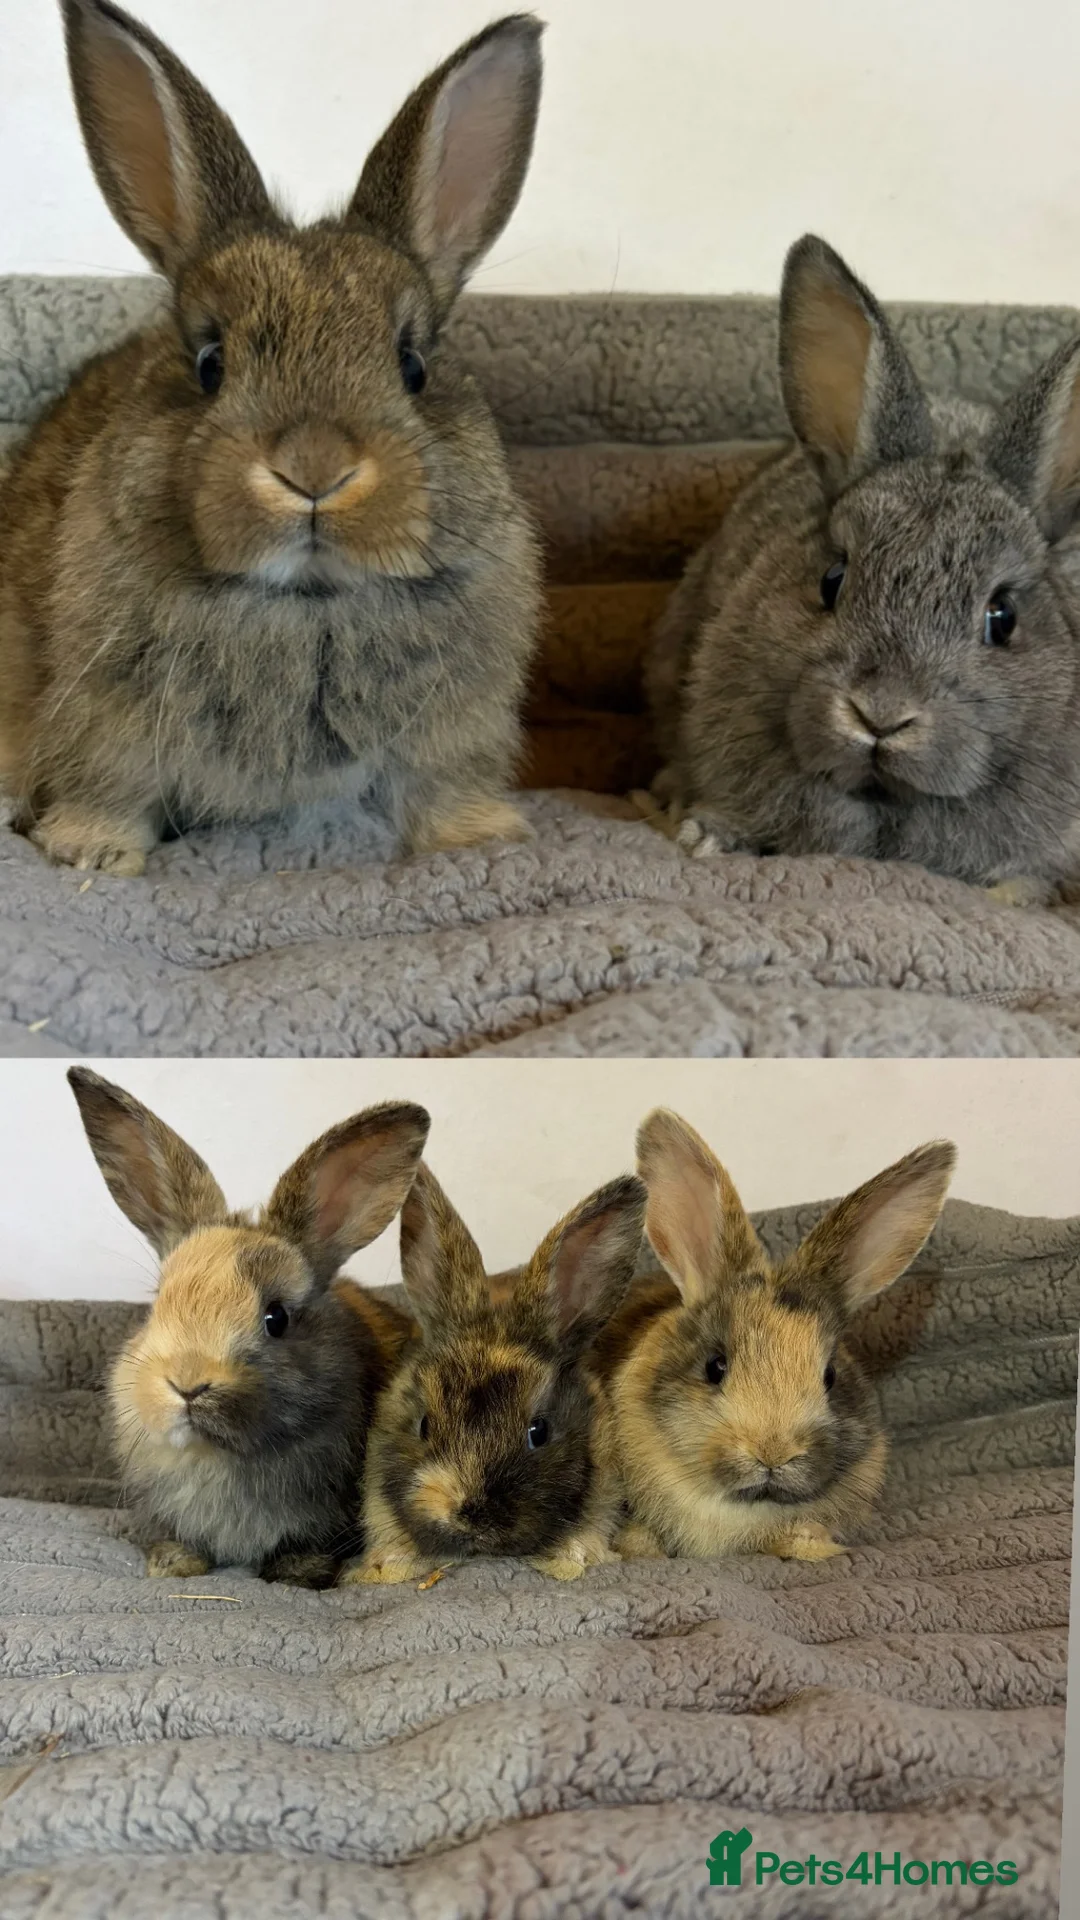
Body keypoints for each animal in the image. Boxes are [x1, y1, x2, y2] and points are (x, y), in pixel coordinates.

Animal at [0, 0, 545, 875]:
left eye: (414, 365)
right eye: (210, 363)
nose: (314, 469)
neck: (307, 600)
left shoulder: (455, 729)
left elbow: (443, 788)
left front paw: (478, 839)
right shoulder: (104, 720)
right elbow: (108, 788)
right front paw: (93, 854)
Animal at [69, 1067, 428, 1583]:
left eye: (276, 1317)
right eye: (158, 1303)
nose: (187, 1384)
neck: (216, 1453)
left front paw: (297, 1573)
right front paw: (174, 1564)